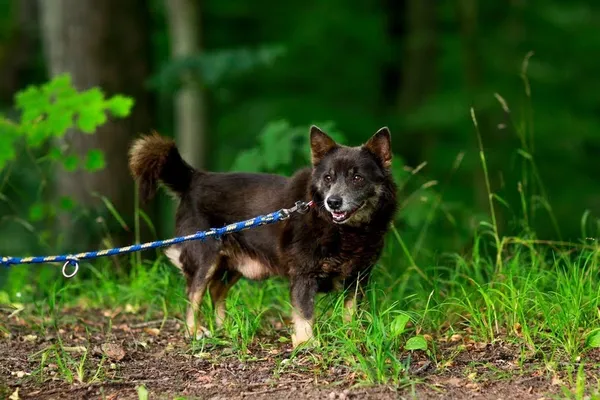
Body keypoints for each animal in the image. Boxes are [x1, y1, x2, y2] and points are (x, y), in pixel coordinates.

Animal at [127, 125, 398, 346]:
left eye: (357, 177)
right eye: (328, 178)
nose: (333, 202)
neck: (347, 231)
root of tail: (194, 178)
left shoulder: (358, 277)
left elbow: (351, 312)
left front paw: (351, 336)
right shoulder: (304, 274)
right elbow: (305, 313)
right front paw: (306, 345)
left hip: (232, 265)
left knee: (216, 291)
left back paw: (226, 327)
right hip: (205, 259)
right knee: (193, 296)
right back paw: (195, 331)